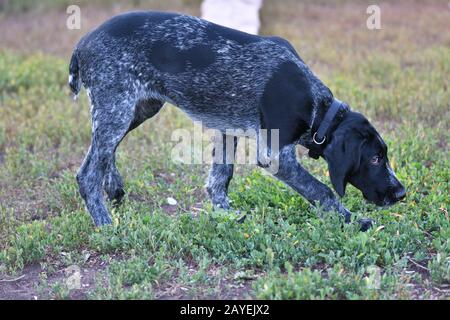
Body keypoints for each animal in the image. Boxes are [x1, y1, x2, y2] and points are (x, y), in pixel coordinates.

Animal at [68, 10, 406, 230]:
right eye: (375, 159)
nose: (401, 194)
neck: (315, 104)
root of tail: (83, 42)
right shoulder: (275, 155)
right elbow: (322, 190)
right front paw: (352, 222)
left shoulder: (226, 129)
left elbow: (221, 179)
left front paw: (225, 215)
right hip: (118, 107)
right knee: (88, 172)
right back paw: (104, 224)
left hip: (136, 109)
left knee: (103, 151)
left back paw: (114, 187)